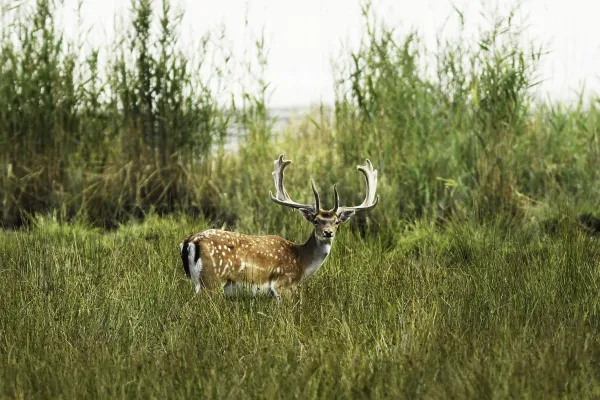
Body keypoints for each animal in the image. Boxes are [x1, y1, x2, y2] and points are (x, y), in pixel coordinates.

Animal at [177, 155, 380, 298]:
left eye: (337, 222)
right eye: (316, 220)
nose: (328, 232)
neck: (301, 263)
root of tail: (189, 241)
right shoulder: (284, 286)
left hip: (199, 282)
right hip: (211, 281)